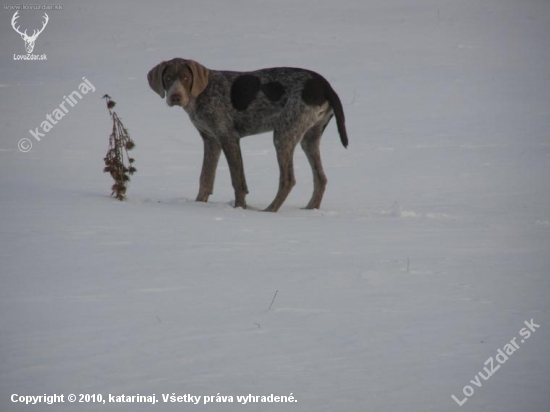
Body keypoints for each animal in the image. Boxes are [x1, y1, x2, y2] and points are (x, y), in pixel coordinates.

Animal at [148, 58, 350, 212]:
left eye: (185, 77)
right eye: (167, 78)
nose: (175, 97)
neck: (201, 94)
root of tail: (325, 86)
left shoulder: (228, 138)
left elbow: (238, 181)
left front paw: (239, 209)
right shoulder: (211, 140)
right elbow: (205, 178)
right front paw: (199, 205)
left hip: (283, 133)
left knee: (288, 180)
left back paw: (269, 211)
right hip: (309, 138)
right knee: (321, 178)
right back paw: (310, 210)